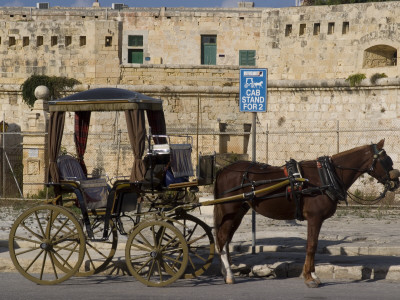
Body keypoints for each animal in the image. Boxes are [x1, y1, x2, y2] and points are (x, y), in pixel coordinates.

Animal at [216, 139, 400, 288]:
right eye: (386, 160)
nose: (396, 181)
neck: (326, 176)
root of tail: (224, 170)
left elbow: (314, 245)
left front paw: (313, 275)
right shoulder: (314, 218)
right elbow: (311, 246)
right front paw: (309, 278)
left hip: (238, 212)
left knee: (225, 239)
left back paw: (226, 272)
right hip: (231, 210)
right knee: (223, 238)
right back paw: (230, 275)